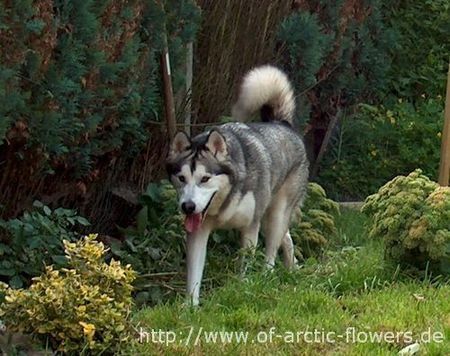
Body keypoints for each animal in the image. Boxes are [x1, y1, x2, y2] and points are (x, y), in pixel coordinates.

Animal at [166, 66, 310, 306]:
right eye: (182, 178)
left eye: (205, 179)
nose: (188, 207)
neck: (224, 202)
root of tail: (282, 124)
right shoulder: (198, 232)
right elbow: (194, 274)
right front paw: (190, 307)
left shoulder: (250, 226)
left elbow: (245, 264)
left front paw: (244, 288)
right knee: (286, 238)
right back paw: (292, 268)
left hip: (275, 214)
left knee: (272, 249)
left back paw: (268, 276)